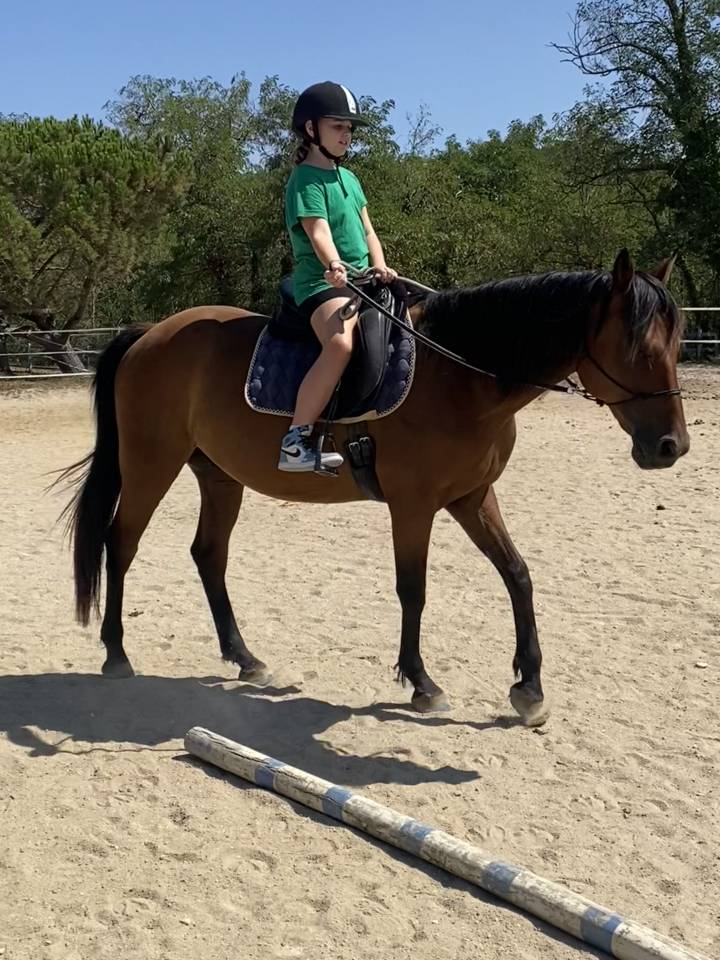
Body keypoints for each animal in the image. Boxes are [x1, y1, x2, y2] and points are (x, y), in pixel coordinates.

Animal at [61, 249, 688, 727]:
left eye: (678, 343)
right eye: (636, 347)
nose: (671, 447)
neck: (459, 375)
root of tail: (151, 333)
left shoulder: (472, 497)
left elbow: (518, 575)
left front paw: (529, 689)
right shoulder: (414, 505)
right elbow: (413, 588)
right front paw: (422, 683)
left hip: (218, 476)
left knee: (208, 555)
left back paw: (245, 658)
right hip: (150, 464)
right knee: (120, 544)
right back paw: (116, 653)